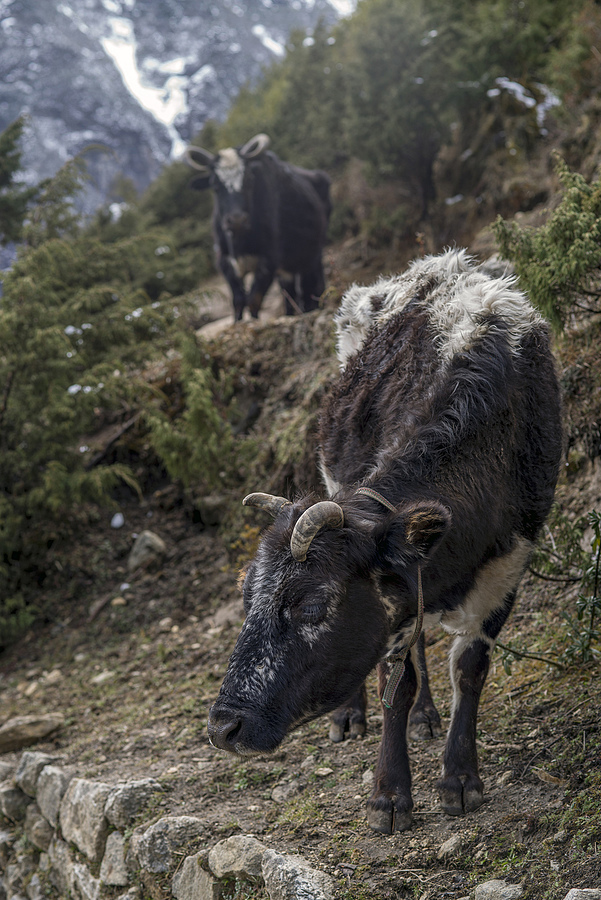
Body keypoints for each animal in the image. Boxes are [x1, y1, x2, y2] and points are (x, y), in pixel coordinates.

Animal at [185, 134, 331, 322]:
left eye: (249, 180)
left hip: (312, 253)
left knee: (311, 284)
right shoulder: (225, 261)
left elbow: (253, 300)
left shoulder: (269, 260)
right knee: (289, 291)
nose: (237, 220)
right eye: (215, 185)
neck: (241, 240)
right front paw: (238, 323)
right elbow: (238, 301)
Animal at [207, 250, 563, 834]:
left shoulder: (509, 564)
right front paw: (389, 795)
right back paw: (352, 715)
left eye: (314, 605)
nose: (222, 728)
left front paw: (460, 779)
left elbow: (469, 668)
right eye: (246, 601)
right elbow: (397, 682)